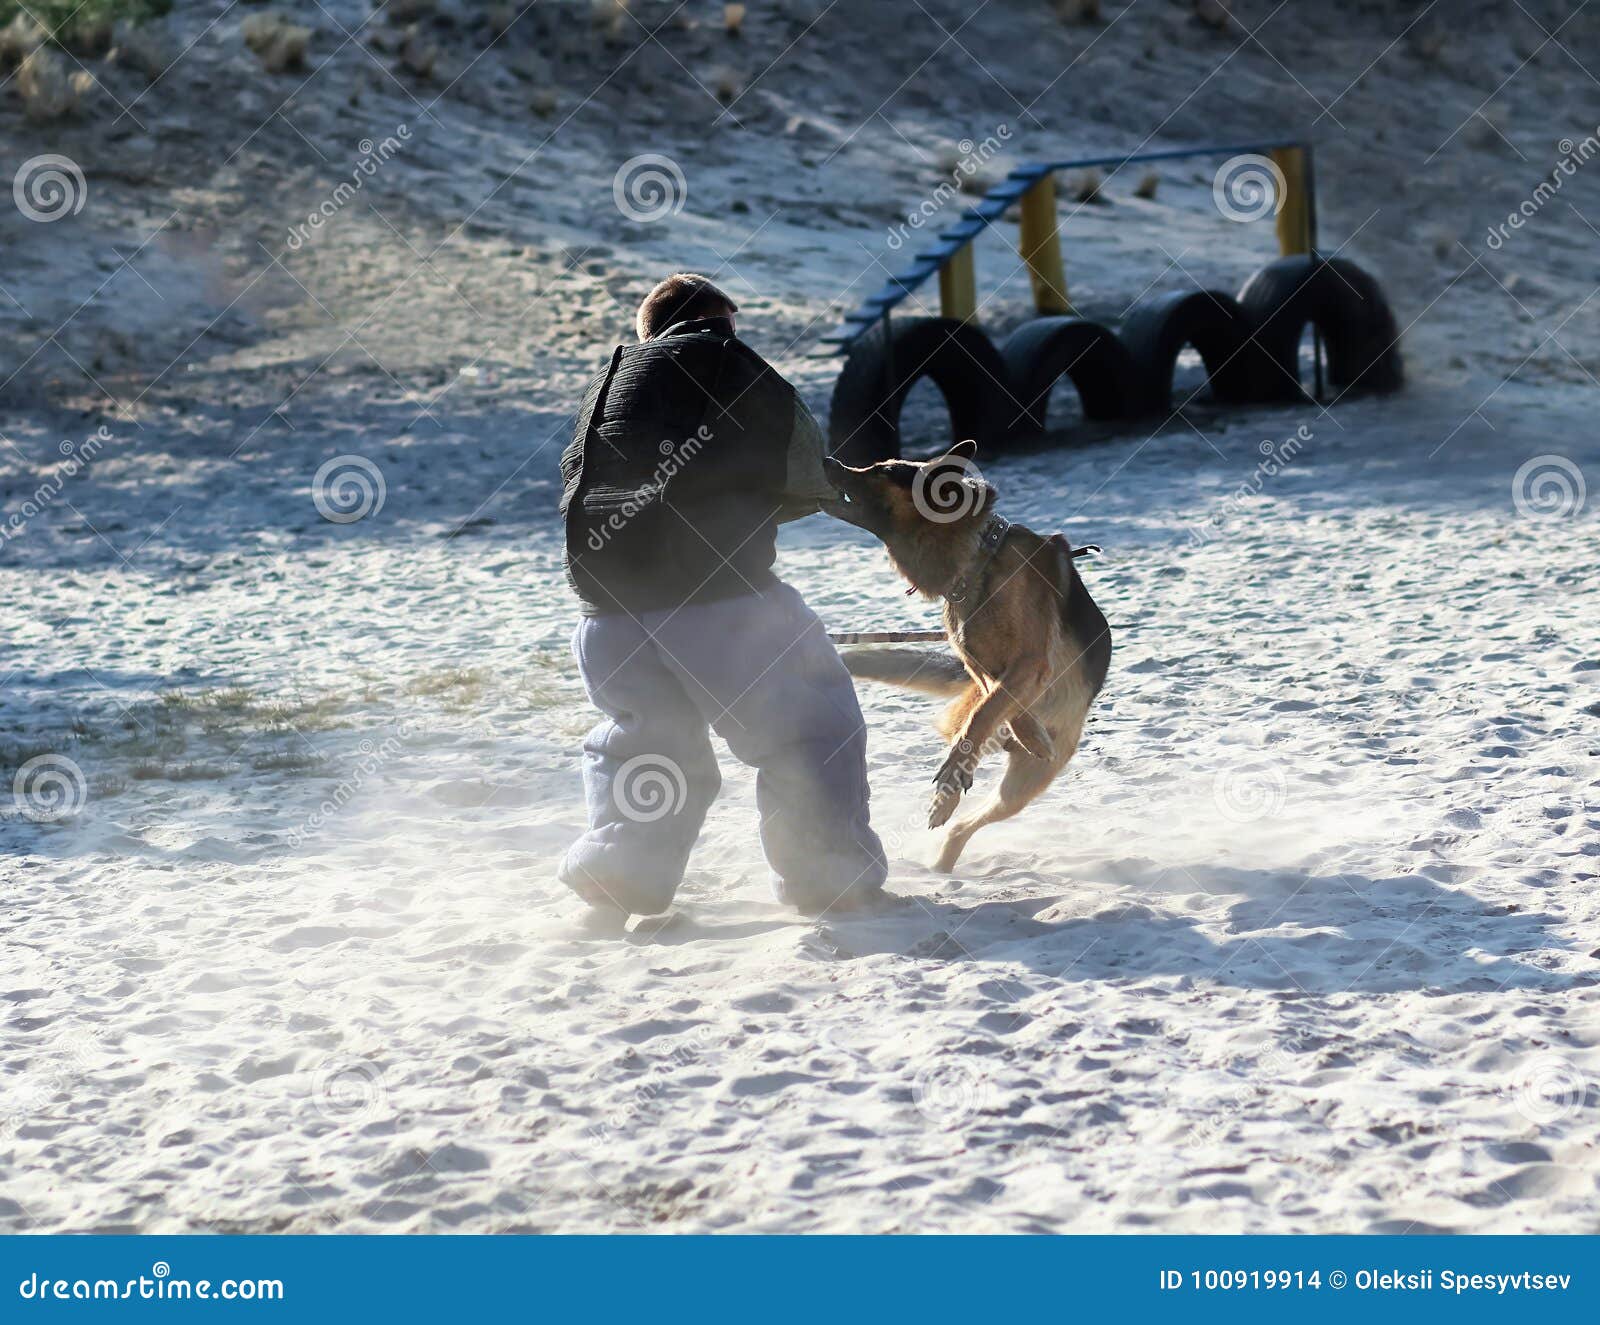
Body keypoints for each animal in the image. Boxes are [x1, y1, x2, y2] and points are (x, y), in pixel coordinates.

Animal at [825, 444, 1113, 876]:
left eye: (884, 470)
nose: (828, 461)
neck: (980, 561)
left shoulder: (1030, 662)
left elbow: (987, 711)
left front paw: (1022, 737)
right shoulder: (981, 668)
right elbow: (993, 703)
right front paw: (1027, 732)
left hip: (1022, 788)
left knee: (968, 820)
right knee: (967, 798)